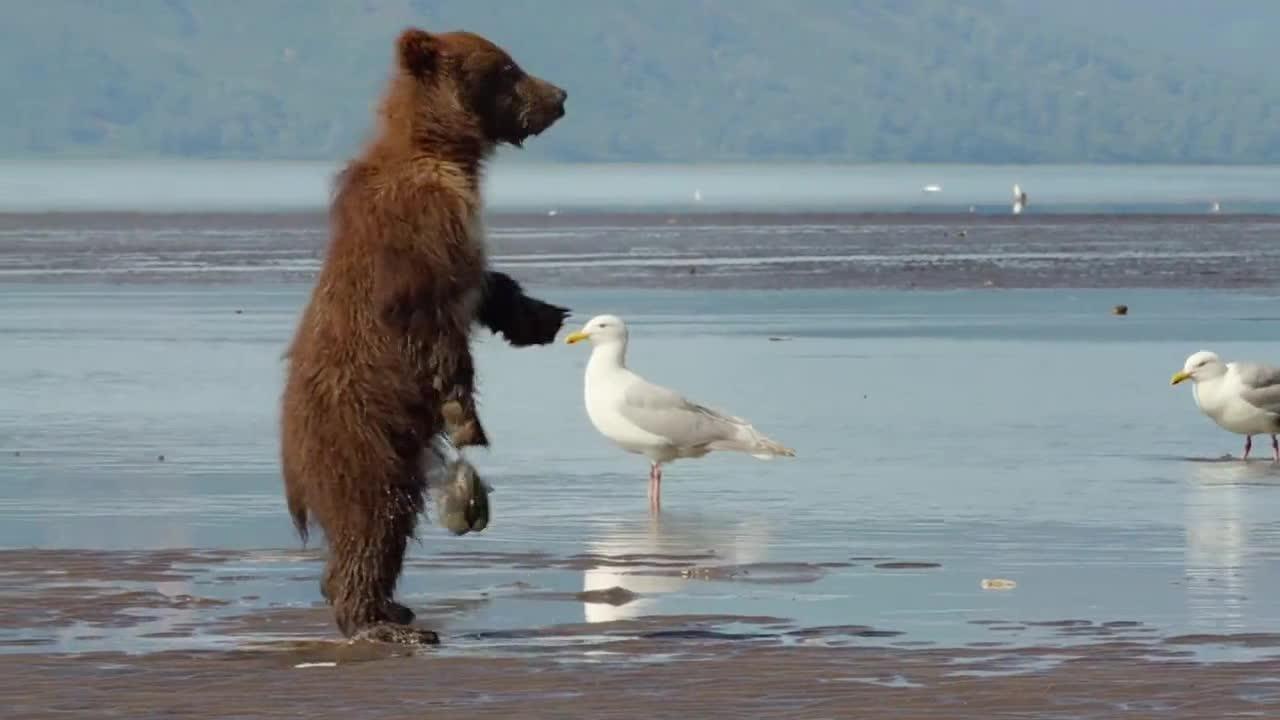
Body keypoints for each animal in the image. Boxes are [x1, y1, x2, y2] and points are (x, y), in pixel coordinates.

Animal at [279, 27, 568, 645]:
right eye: (507, 69)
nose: (559, 95)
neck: (443, 153)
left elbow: (485, 285)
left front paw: (538, 316)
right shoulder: (419, 227)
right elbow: (429, 319)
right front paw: (464, 414)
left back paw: (392, 609)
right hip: (363, 434)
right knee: (373, 519)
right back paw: (375, 620)